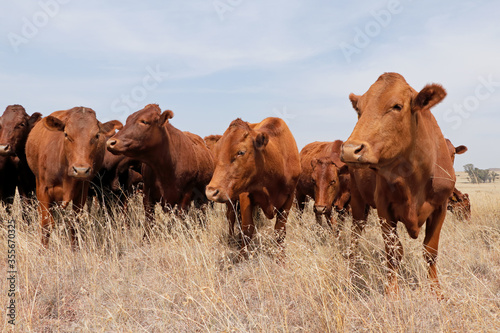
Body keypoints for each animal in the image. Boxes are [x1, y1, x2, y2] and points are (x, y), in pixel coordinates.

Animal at [26, 106, 120, 246]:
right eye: (66, 134)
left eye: (97, 135)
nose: (81, 170)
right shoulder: (43, 189)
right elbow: (46, 224)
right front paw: (42, 249)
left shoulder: (81, 192)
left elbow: (75, 224)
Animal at [105, 104, 215, 233]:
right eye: (127, 121)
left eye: (144, 121)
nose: (111, 142)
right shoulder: (147, 196)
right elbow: (149, 224)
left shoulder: (185, 198)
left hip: (203, 198)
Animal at [204, 117, 298, 254]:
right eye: (216, 153)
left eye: (241, 152)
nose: (211, 192)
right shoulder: (245, 195)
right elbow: (247, 230)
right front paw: (242, 256)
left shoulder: (289, 198)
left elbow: (280, 232)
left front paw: (281, 257)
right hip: (231, 201)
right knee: (231, 218)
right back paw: (231, 239)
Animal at [342, 71, 456, 294]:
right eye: (359, 109)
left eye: (397, 106)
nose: (350, 150)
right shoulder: (384, 208)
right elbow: (393, 253)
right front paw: (392, 293)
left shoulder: (441, 207)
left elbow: (430, 252)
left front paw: (437, 293)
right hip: (358, 202)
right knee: (355, 238)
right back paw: (351, 274)